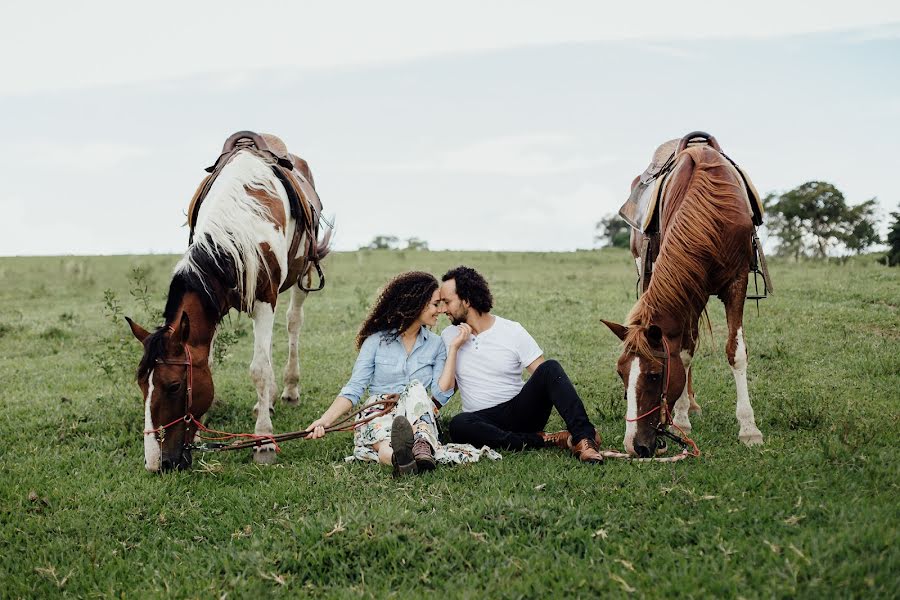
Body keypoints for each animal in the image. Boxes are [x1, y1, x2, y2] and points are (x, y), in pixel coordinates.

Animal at [125, 132, 330, 474]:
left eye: (174, 386)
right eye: (142, 384)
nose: (155, 463)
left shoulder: (264, 299)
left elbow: (259, 369)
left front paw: (264, 442)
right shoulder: (215, 302)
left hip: (304, 274)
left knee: (293, 324)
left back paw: (289, 390)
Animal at [600, 134, 764, 458]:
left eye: (654, 375)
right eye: (621, 373)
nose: (633, 446)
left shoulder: (736, 282)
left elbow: (735, 352)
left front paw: (749, 429)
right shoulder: (689, 287)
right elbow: (685, 352)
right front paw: (682, 420)